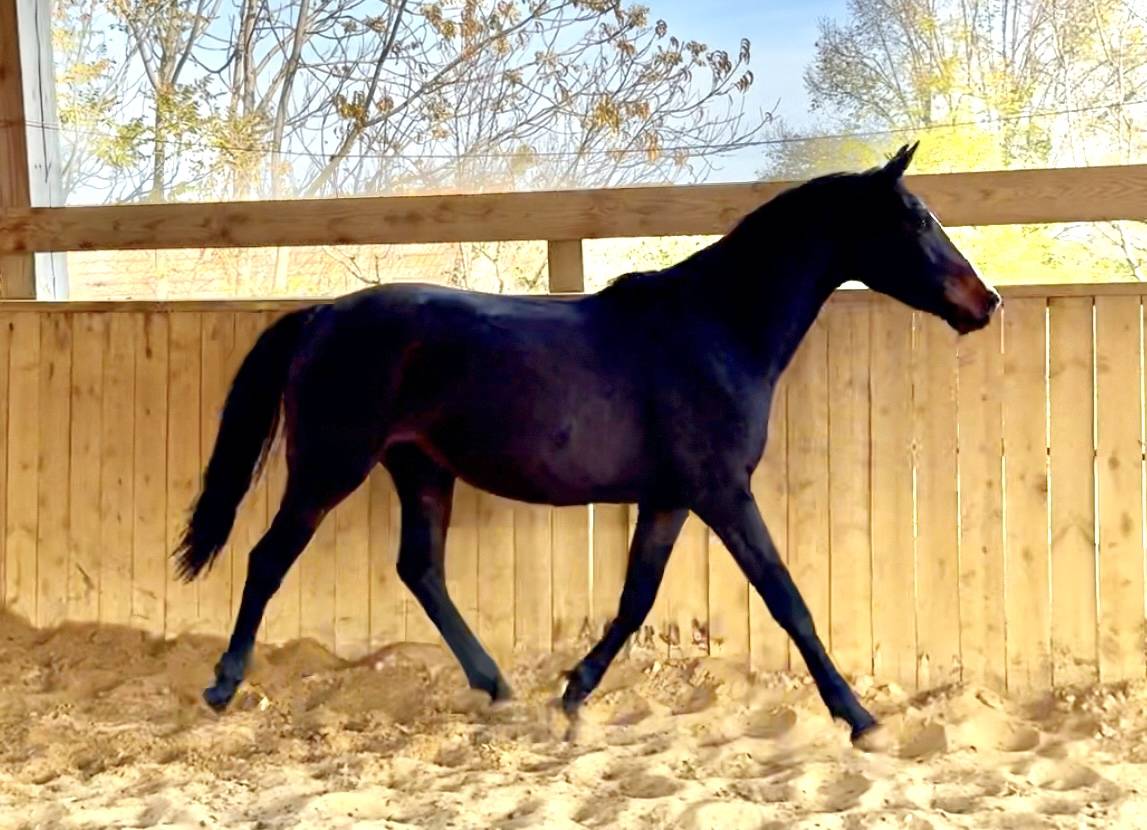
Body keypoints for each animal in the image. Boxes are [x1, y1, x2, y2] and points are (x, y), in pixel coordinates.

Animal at [174, 142, 999, 745]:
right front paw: (859, 719)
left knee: (421, 570)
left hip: (420, 468)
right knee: (267, 559)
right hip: (329, 466)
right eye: (916, 219)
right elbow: (786, 599)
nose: (984, 301)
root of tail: (321, 315)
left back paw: (497, 685)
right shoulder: (722, 493)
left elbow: (635, 600)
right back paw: (222, 683)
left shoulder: (669, 498)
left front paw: (572, 694)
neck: (716, 329)